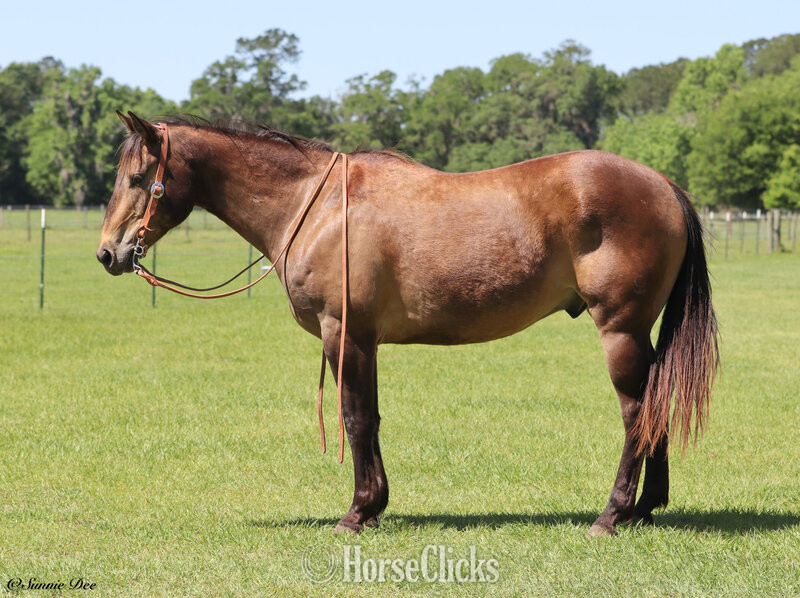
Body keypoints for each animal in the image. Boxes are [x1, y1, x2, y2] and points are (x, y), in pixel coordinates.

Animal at [97, 112, 718, 537]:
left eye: (138, 177)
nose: (107, 253)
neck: (319, 207)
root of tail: (665, 186)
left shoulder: (343, 335)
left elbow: (354, 421)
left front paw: (355, 513)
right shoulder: (365, 342)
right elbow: (370, 418)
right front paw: (374, 507)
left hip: (620, 332)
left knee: (636, 413)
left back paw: (611, 515)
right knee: (655, 406)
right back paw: (644, 509)